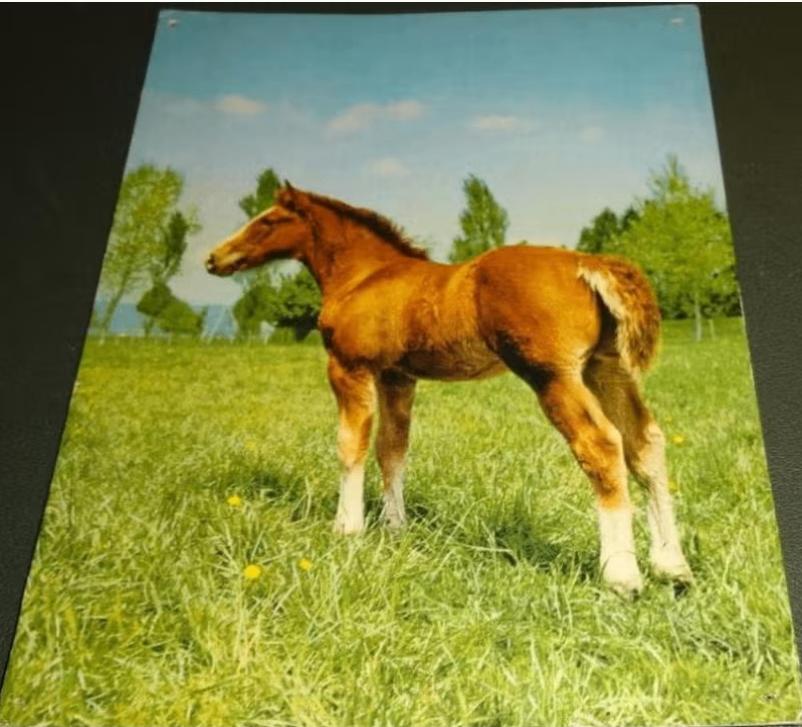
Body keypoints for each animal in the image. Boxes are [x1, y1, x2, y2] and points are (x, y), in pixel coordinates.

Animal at [205, 183, 693, 597]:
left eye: (267, 221)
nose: (214, 258)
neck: (365, 276)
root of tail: (587, 263)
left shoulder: (348, 369)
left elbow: (351, 445)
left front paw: (347, 527)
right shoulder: (397, 377)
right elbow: (392, 449)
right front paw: (395, 527)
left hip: (554, 376)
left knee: (602, 446)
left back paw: (622, 576)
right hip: (605, 369)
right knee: (645, 443)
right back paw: (673, 567)